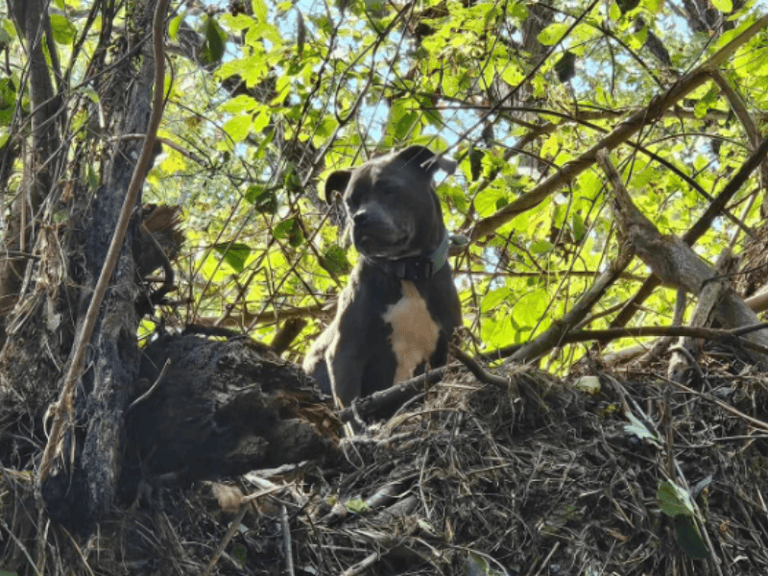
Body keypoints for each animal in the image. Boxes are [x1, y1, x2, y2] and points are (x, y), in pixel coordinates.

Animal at [304, 145, 462, 418]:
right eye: (350, 202)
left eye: (388, 188)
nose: (358, 217)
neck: (408, 271)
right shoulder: (345, 353)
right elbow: (351, 412)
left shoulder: (446, 350)